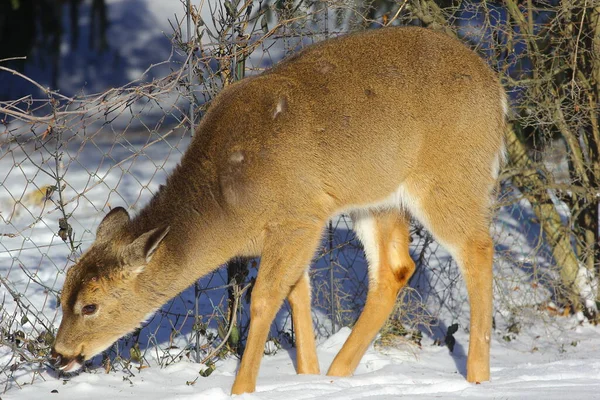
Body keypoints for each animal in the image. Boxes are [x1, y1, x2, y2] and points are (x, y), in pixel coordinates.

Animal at [52, 26, 506, 396]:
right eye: (61, 295)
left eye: (90, 306)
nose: (59, 353)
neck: (229, 205)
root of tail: (497, 89)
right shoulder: (296, 228)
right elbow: (296, 293)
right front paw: (306, 377)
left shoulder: (299, 215)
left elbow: (265, 298)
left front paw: (243, 389)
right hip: (376, 199)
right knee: (395, 268)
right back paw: (337, 375)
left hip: (450, 175)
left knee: (478, 246)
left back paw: (477, 377)